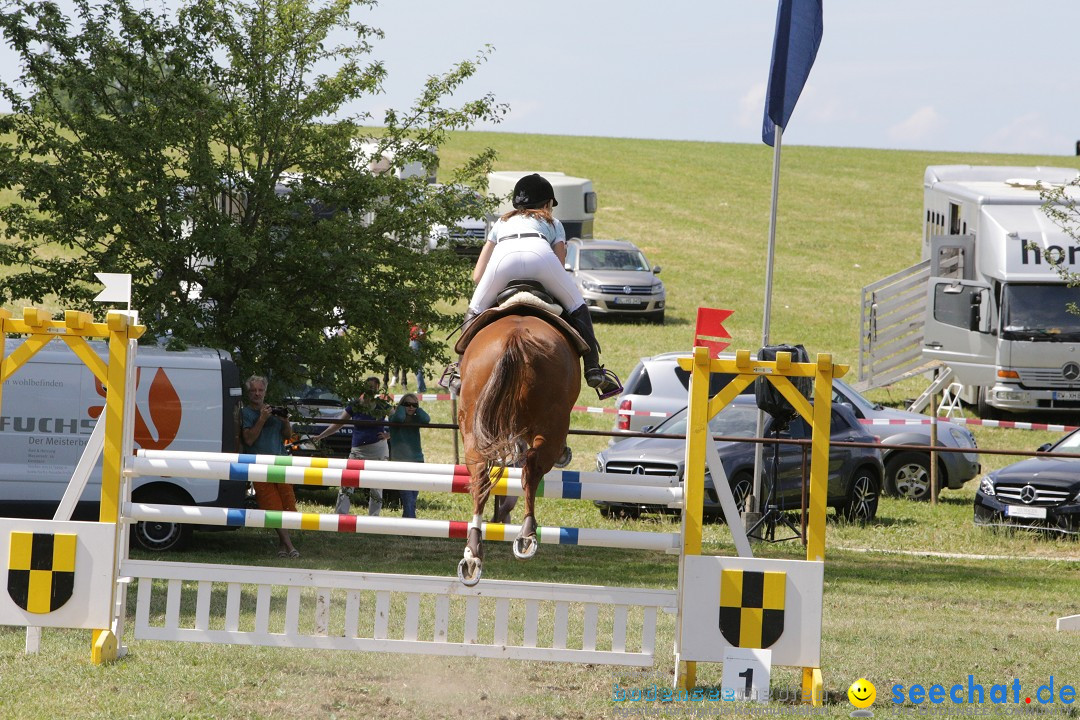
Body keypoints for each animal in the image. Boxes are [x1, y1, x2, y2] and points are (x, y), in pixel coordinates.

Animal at [455, 310, 583, 587]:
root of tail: (514, 337)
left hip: (472, 421)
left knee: (480, 477)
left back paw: (472, 555)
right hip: (552, 421)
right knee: (532, 470)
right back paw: (527, 536)